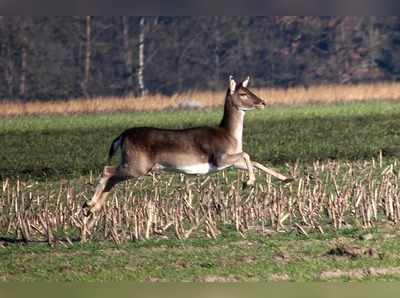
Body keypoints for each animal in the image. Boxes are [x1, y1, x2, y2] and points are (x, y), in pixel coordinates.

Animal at [81, 75, 292, 237]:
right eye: (243, 93)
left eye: (250, 89)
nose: (262, 102)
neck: (230, 136)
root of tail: (122, 136)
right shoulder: (219, 158)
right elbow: (247, 155)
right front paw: (248, 182)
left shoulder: (229, 162)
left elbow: (254, 161)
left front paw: (287, 178)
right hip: (136, 164)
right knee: (107, 171)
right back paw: (89, 204)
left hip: (131, 163)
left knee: (111, 180)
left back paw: (91, 212)